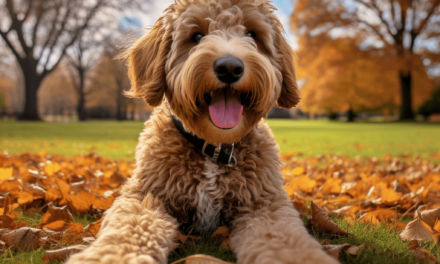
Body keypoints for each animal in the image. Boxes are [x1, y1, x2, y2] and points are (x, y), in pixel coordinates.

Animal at [68, 0, 336, 264]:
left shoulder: (263, 202)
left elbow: (284, 239)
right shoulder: (146, 195)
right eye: (196, 36)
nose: (229, 67)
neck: (214, 148)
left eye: (252, 34)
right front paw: (111, 255)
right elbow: (131, 227)